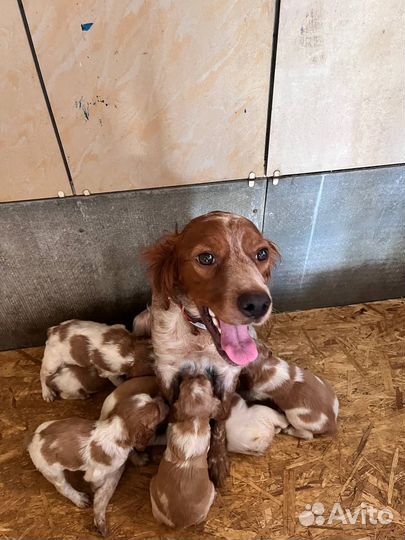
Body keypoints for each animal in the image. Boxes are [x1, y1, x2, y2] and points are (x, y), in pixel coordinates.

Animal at [27, 392, 167, 536]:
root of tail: (33, 437)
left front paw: (139, 459)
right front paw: (96, 490)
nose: (163, 399)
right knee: (63, 487)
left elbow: (132, 451)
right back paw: (80, 499)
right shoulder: (95, 473)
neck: (118, 425)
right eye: (157, 411)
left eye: (150, 396)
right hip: (52, 472)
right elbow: (98, 486)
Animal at [144, 210, 280, 486]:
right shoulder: (167, 369)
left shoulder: (228, 374)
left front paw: (217, 460)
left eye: (261, 253)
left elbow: (219, 421)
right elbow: (172, 411)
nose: (258, 303)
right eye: (206, 257)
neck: (200, 336)